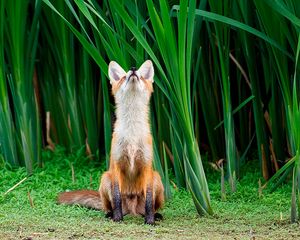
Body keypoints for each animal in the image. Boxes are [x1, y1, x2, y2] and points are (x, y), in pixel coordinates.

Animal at [56, 60, 164, 225]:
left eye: (139, 75)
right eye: (124, 77)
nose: (133, 69)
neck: (132, 135)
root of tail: (132, 209)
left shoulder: (146, 167)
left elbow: (149, 201)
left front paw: (150, 220)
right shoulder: (116, 166)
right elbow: (117, 197)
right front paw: (117, 218)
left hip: (157, 177)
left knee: (150, 206)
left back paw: (156, 215)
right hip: (105, 178)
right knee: (109, 206)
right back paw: (110, 214)